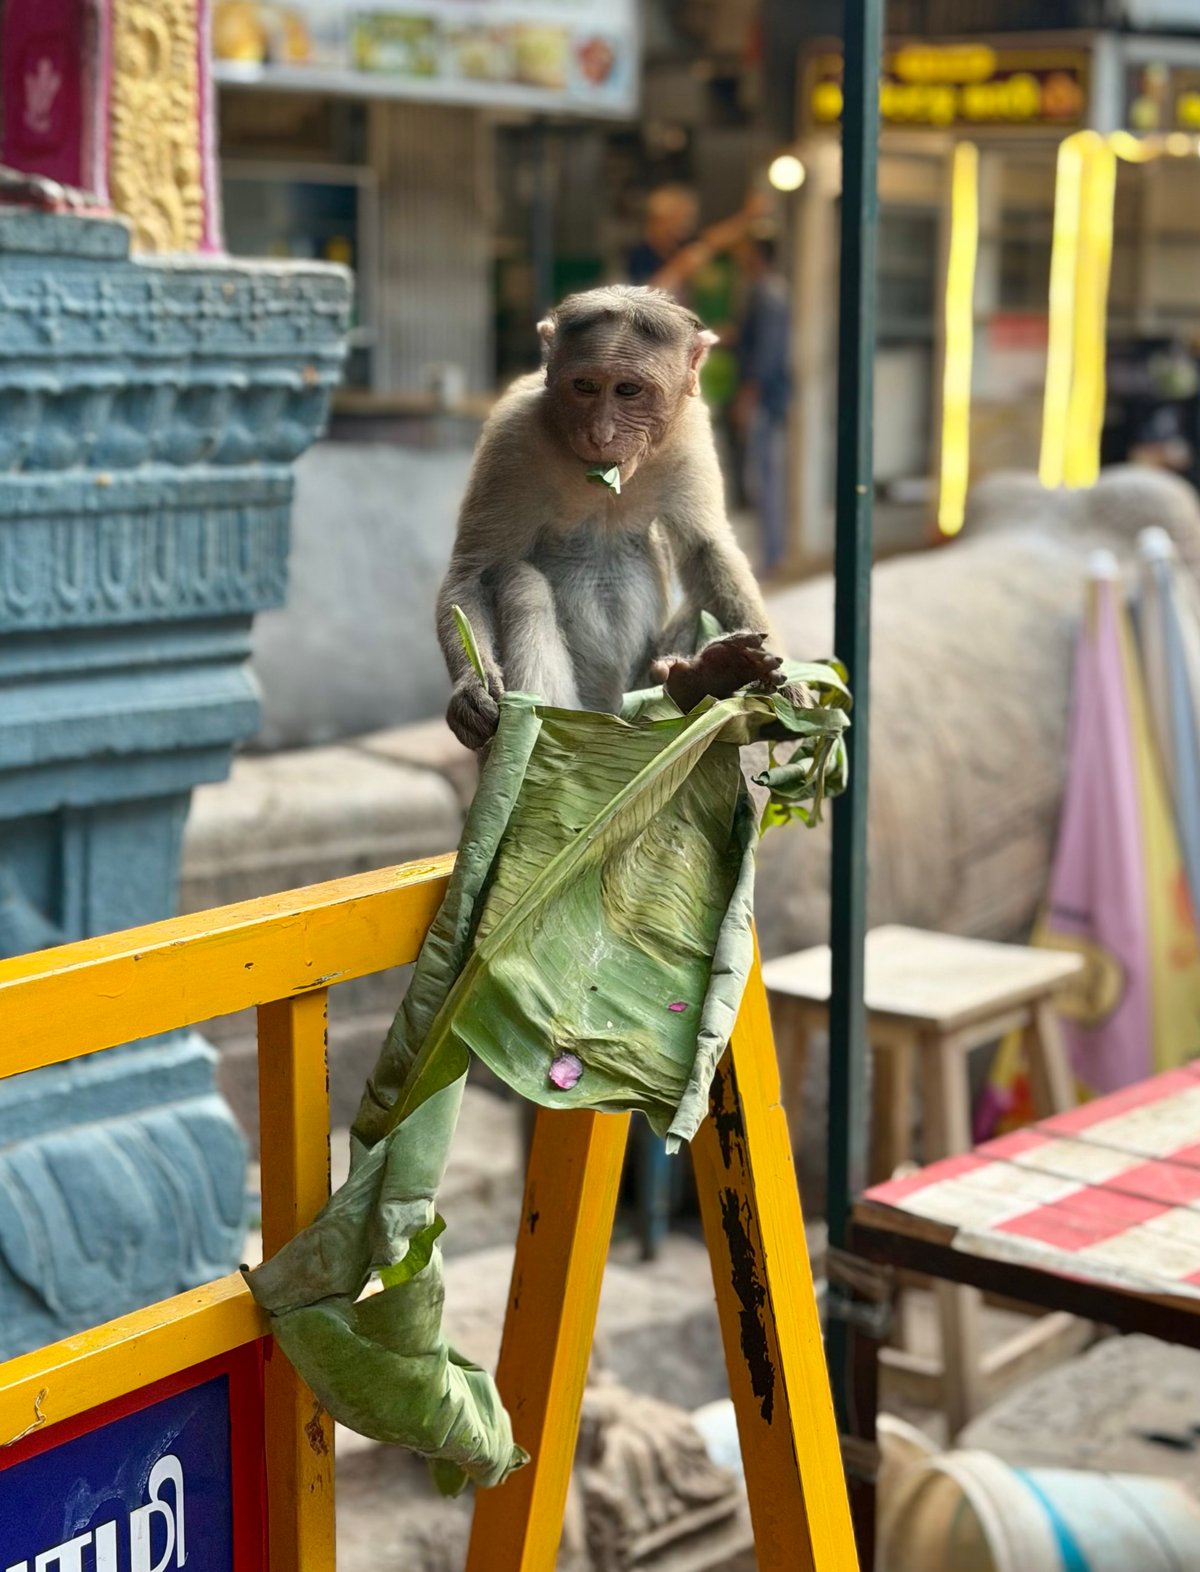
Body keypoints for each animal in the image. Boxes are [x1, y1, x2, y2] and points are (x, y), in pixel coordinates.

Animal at [436, 285, 783, 750]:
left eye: (628, 390)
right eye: (584, 386)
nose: (601, 435)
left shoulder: (690, 428)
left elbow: (706, 548)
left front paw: (791, 688)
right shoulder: (511, 435)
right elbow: (472, 574)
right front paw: (471, 690)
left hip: (637, 694)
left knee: (699, 601)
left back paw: (701, 680)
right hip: (576, 713)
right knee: (521, 584)